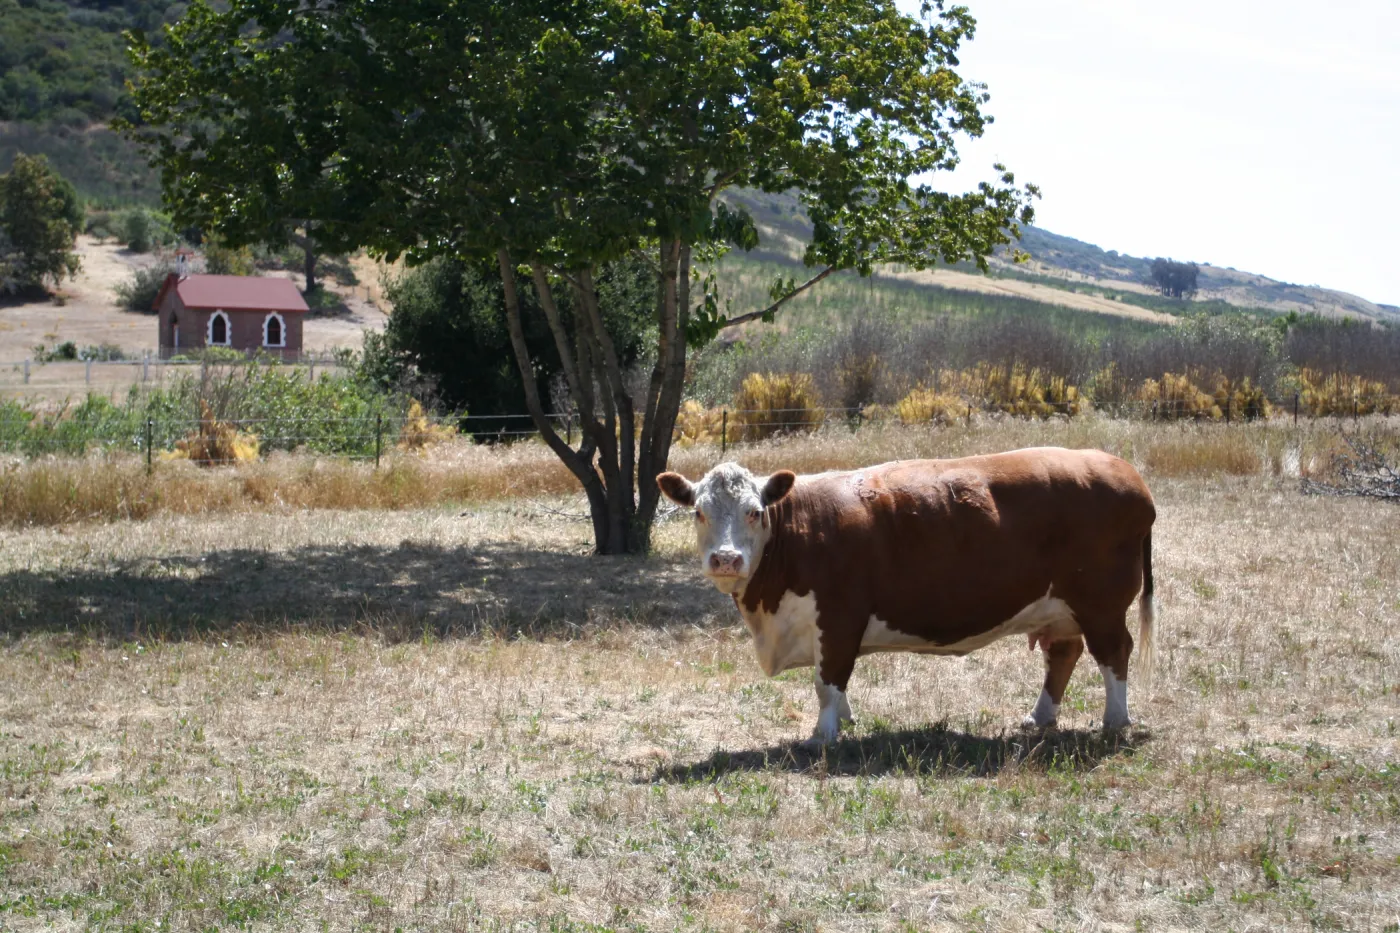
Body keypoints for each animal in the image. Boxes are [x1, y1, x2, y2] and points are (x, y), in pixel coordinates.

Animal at [657, 448, 1157, 746]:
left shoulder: (839, 616)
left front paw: (823, 735)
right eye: (699, 512)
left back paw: (1115, 722)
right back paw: (1040, 718)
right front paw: (845, 719)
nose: (725, 559)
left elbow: (827, 680)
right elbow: (834, 681)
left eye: (755, 511)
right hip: (1060, 607)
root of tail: (1124, 470)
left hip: (1101, 604)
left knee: (1114, 653)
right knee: (1064, 654)